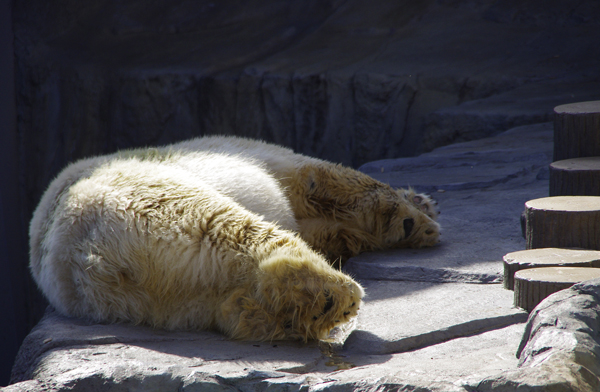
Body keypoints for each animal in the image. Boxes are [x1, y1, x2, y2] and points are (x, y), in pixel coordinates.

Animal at [29, 136, 440, 342]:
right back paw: (330, 293)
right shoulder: (272, 159)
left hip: (160, 300)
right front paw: (414, 219)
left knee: (229, 304)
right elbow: (329, 179)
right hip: (153, 198)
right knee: (230, 228)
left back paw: (297, 311)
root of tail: (79, 257)